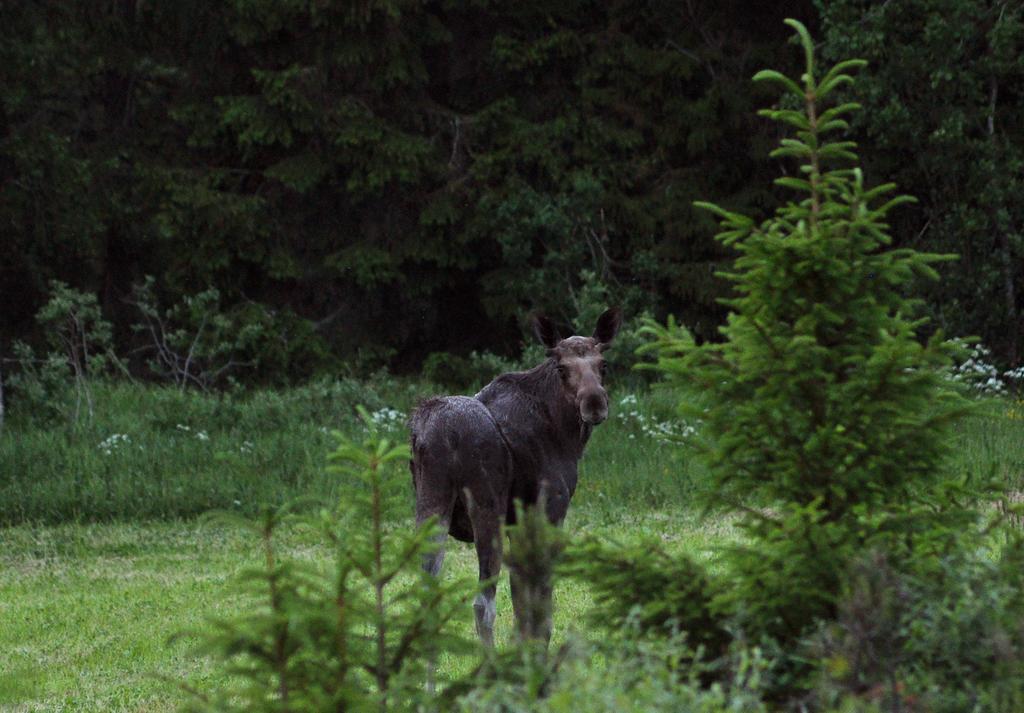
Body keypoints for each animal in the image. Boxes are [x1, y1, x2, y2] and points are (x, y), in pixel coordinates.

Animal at [409, 309, 618, 643]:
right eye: (561, 367)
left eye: (603, 364)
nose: (594, 403)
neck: (566, 435)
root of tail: (435, 435)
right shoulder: (550, 508)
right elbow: (540, 605)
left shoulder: (518, 521)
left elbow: (521, 603)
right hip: (486, 506)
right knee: (482, 603)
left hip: (431, 504)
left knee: (426, 592)